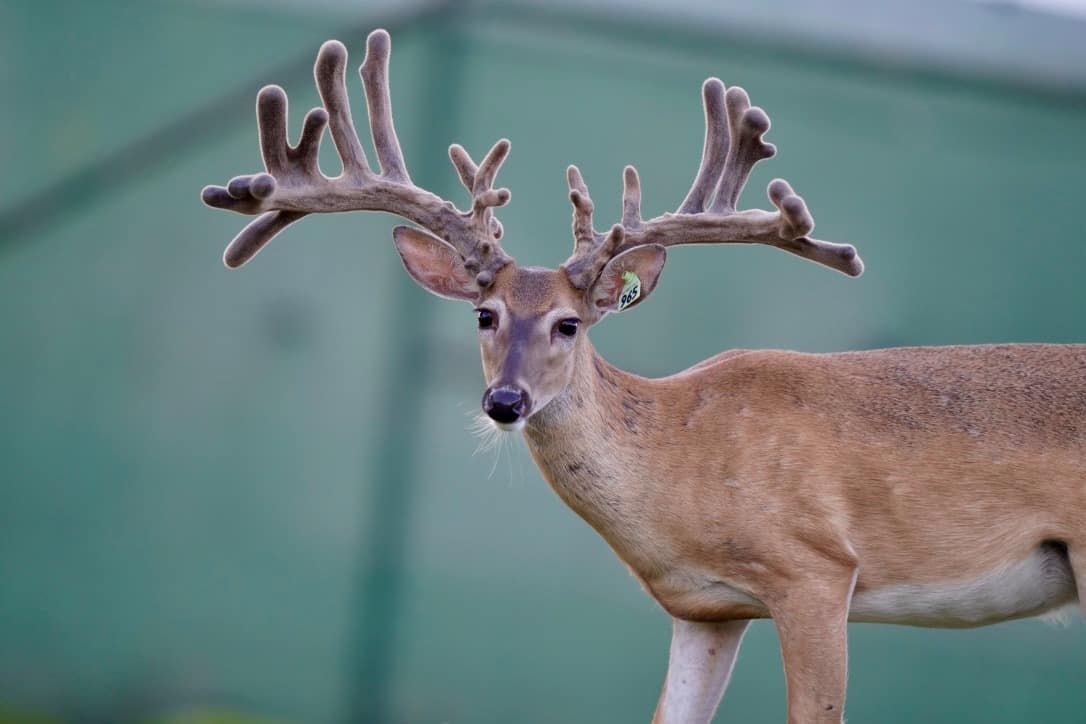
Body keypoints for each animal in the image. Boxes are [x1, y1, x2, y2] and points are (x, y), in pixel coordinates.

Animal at [201, 29, 1086, 724]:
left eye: (569, 323)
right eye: (484, 315)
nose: (505, 401)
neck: (679, 458)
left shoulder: (816, 568)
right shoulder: (707, 608)